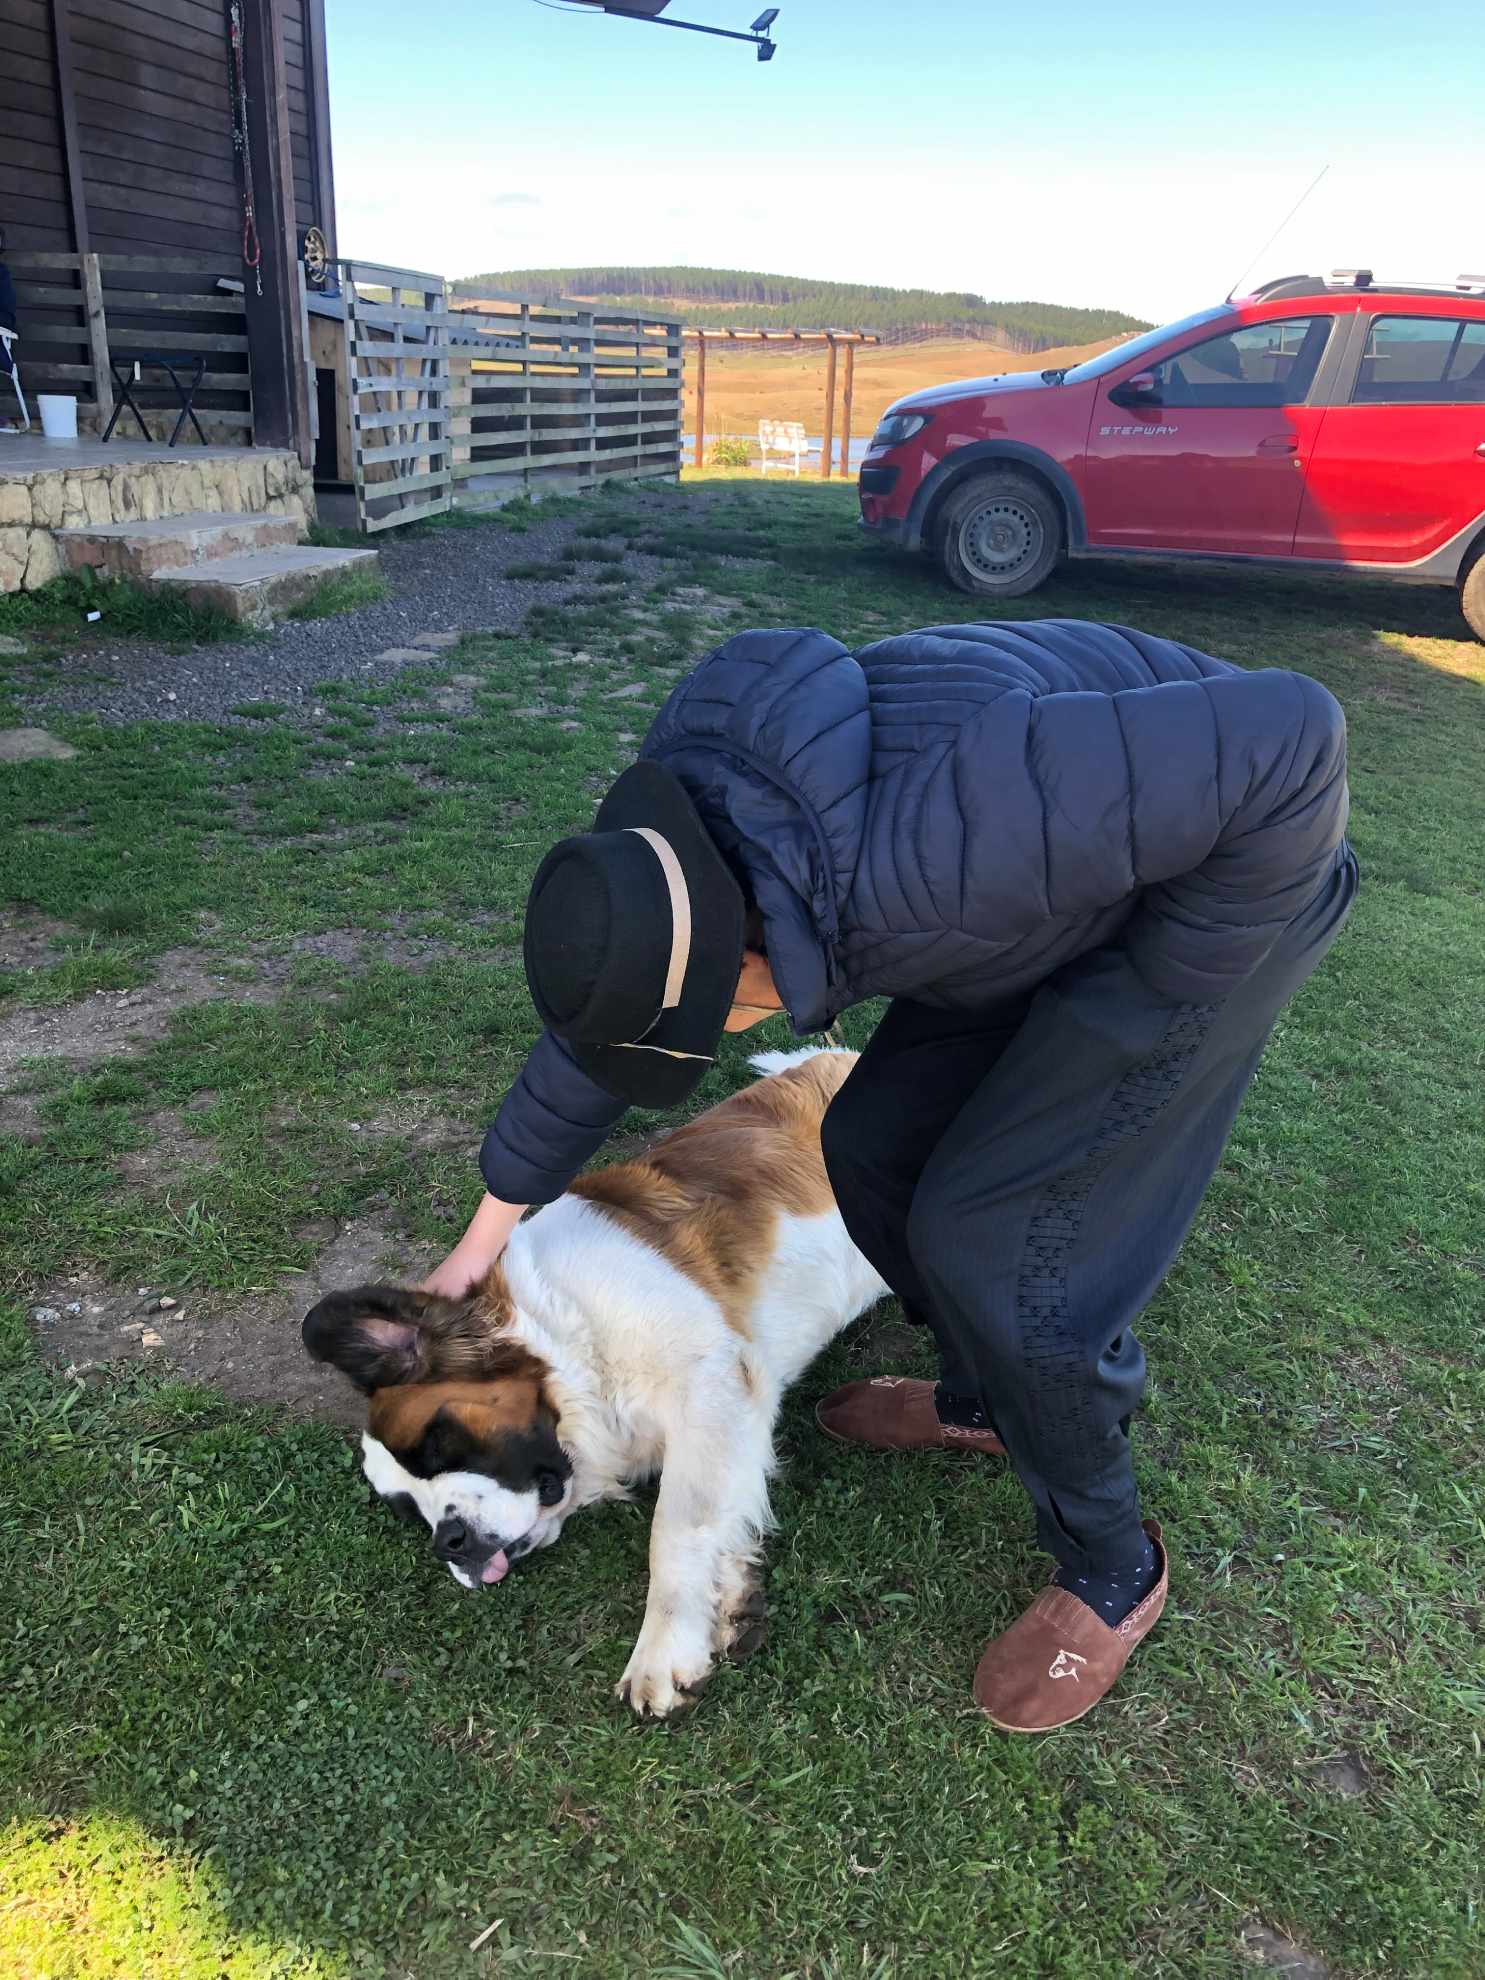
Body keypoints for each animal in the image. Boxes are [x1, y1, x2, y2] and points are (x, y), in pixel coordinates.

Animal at [300, 1053, 883, 1718]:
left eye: (439, 1440)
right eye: (408, 1511)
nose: (449, 1542)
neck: (572, 1339)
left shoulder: (711, 1383)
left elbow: (676, 1524)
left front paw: (663, 1646)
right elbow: (722, 1508)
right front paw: (729, 1593)